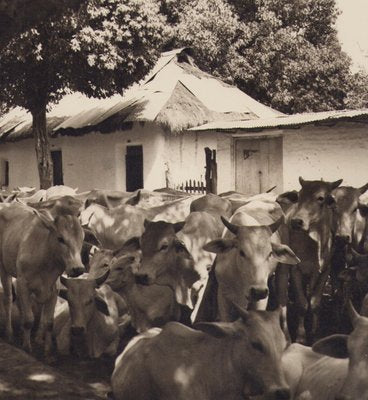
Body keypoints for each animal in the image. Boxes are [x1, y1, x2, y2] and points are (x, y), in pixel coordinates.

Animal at [0, 203, 85, 354]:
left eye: (82, 238)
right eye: (60, 238)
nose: (78, 268)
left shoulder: (53, 290)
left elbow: (49, 322)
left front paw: (47, 350)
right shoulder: (23, 283)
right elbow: (29, 319)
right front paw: (27, 347)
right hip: (3, 269)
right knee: (8, 299)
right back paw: (9, 333)